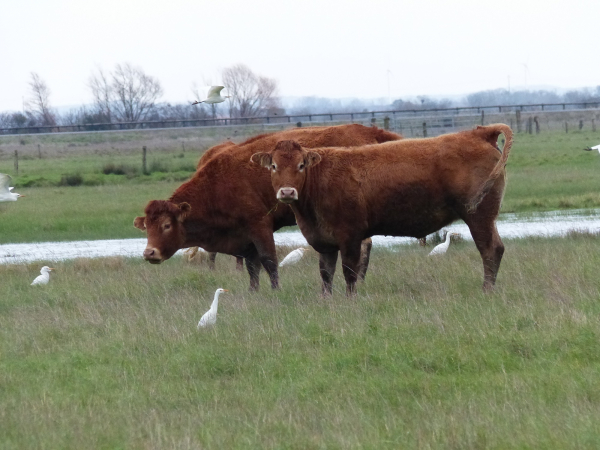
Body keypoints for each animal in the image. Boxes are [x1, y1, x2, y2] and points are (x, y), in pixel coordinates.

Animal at [134, 124, 400, 292]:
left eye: (166, 225)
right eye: (147, 227)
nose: (149, 253)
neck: (219, 183)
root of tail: (370, 131)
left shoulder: (259, 226)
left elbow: (268, 261)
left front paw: (276, 290)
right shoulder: (245, 235)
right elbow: (252, 266)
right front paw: (253, 291)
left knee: (363, 246)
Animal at [251, 123, 512, 296]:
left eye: (301, 165)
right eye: (273, 166)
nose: (287, 192)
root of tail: (479, 132)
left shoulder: (350, 237)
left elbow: (350, 272)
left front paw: (351, 300)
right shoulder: (324, 242)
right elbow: (326, 275)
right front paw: (327, 300)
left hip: (479, 216)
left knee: (489, 250)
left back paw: (486, 290)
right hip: (486, 218)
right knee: (497, 249)